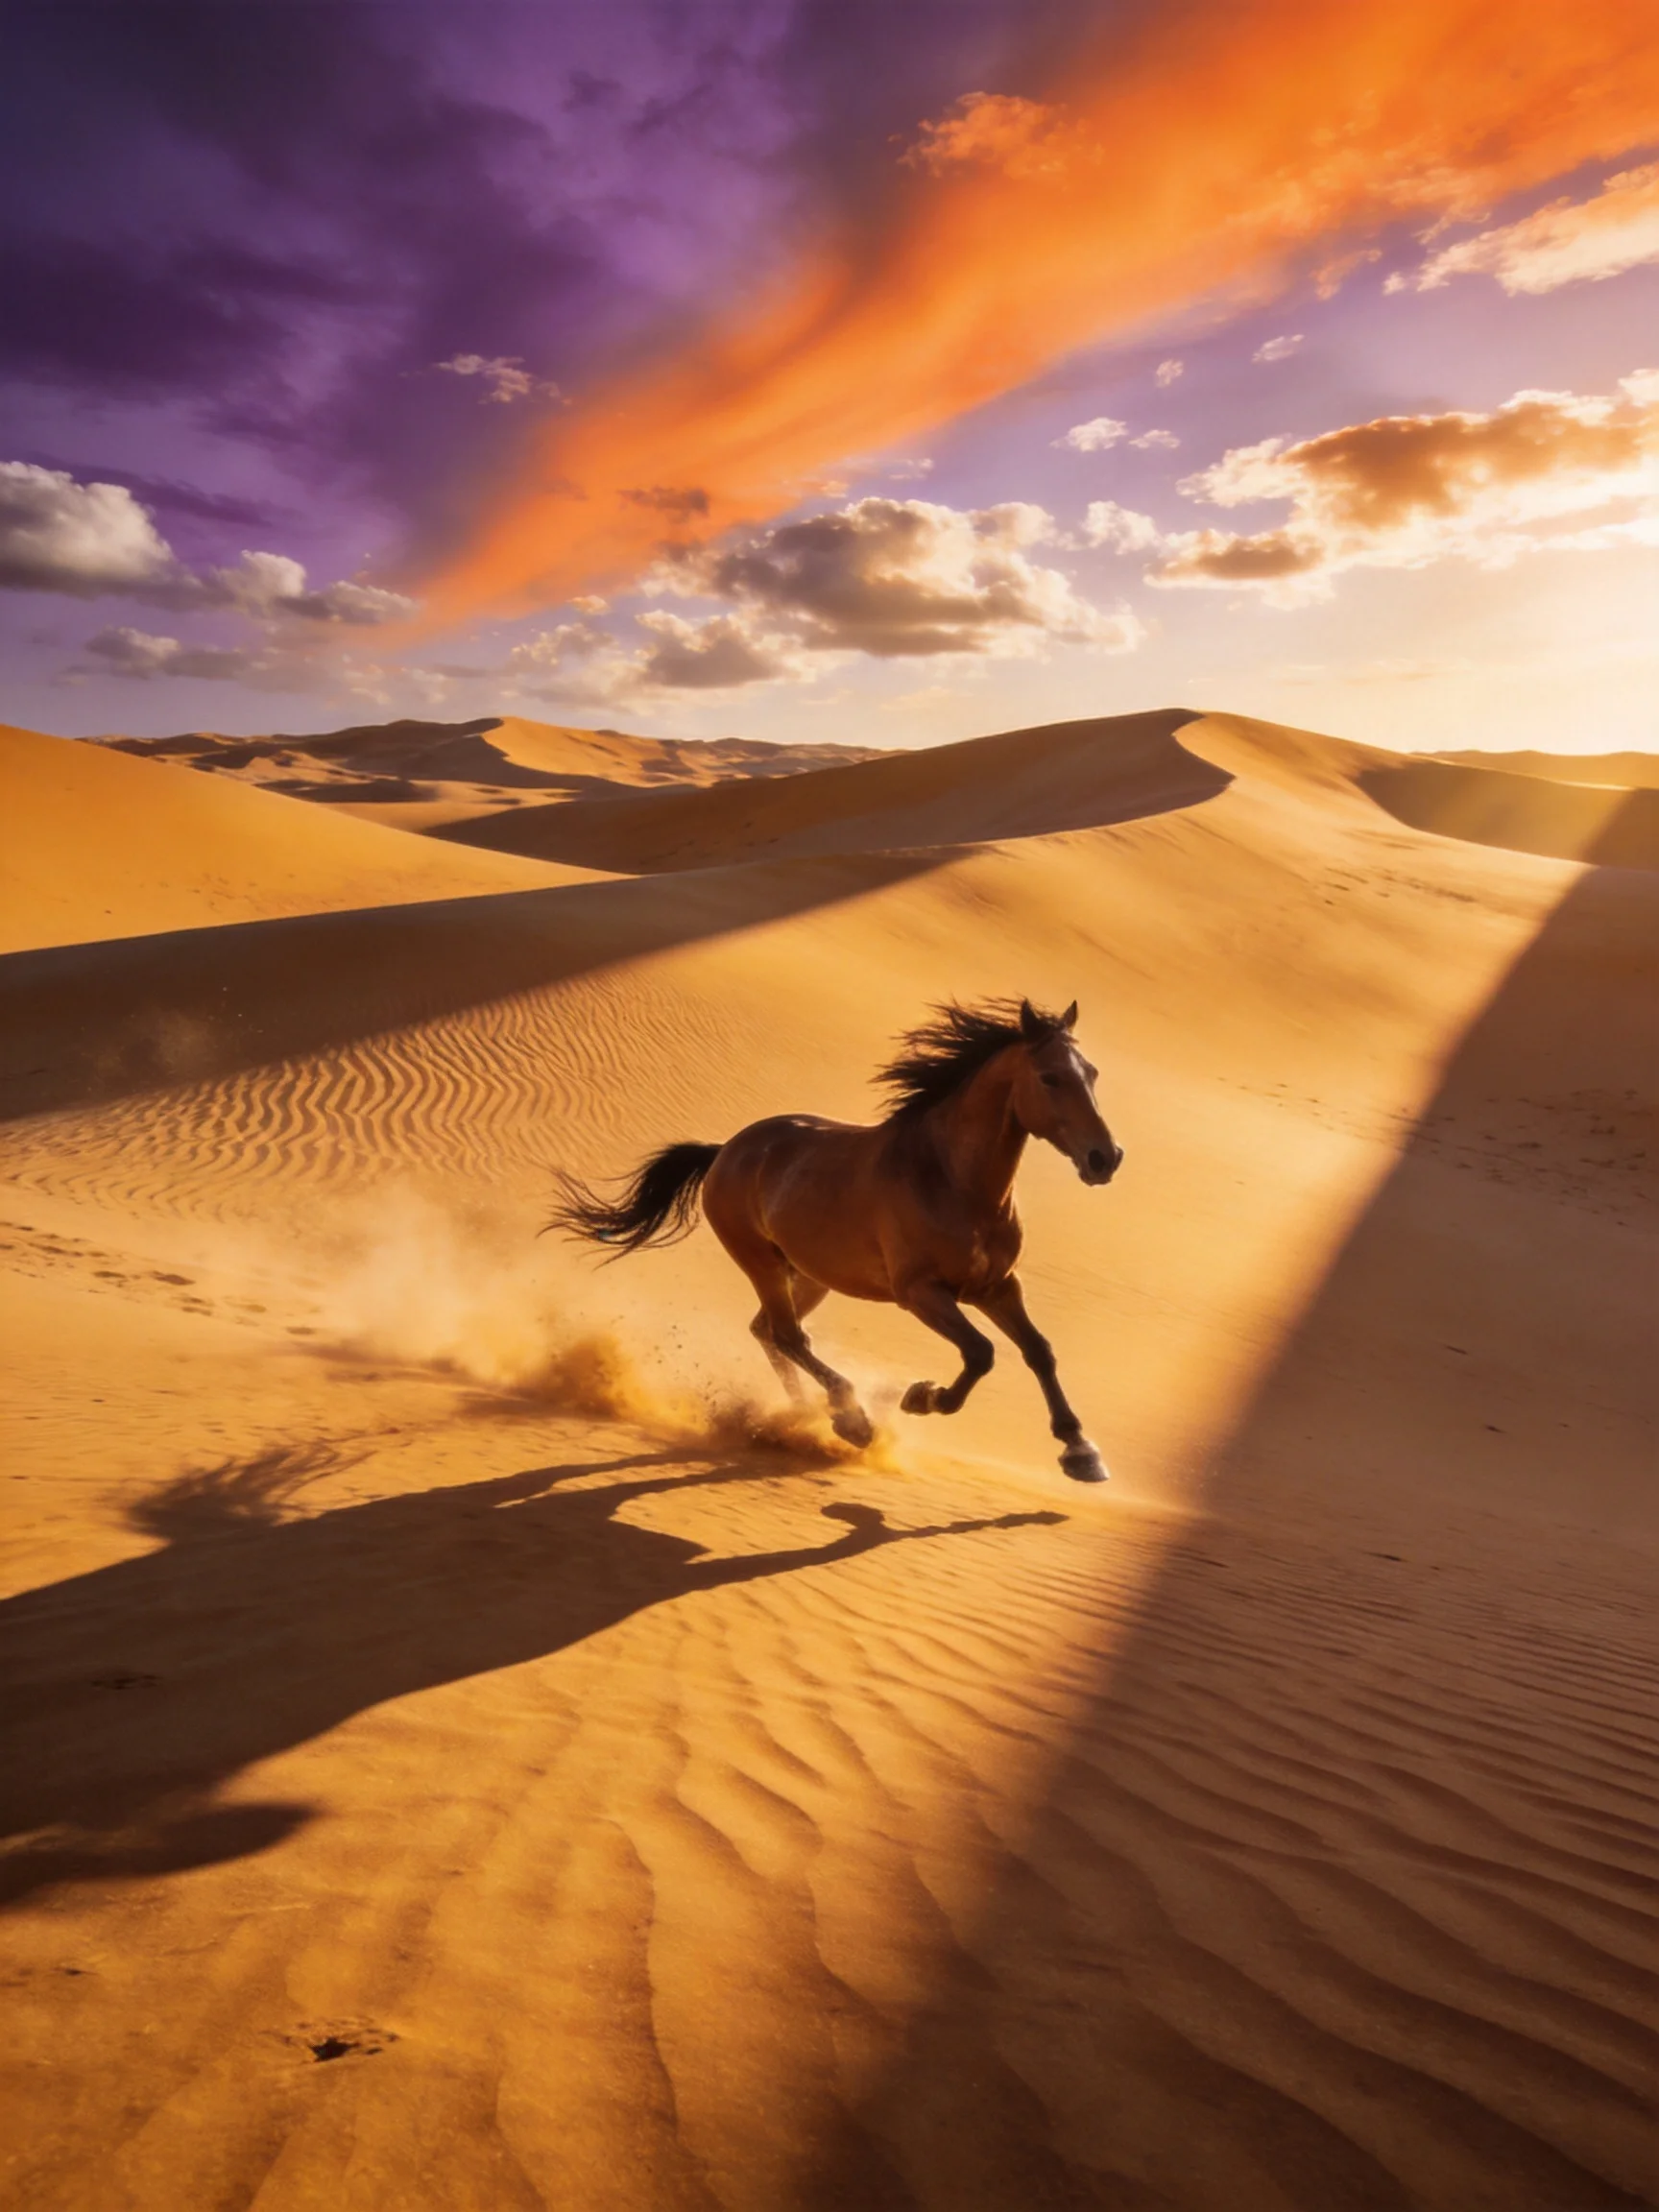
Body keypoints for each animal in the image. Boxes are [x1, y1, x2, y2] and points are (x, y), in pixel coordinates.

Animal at [546, 998, 1122, 1483]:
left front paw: (1081, 1451)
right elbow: (981, 1353)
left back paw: (803, 1416)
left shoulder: (998, 1285)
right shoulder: (922, 1293)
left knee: (769, 1331)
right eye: (1050, 1078)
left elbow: (1038, 1351)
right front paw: (921, 1397)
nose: (1105, 1158)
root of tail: (726, 1150)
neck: (952, 1180)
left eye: (1092, 1073)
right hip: (759, 1261)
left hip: (810, 1274)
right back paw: (850, 1420)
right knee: (787, 1335)